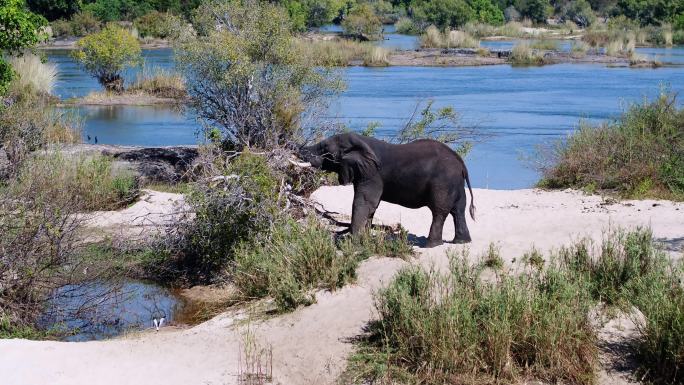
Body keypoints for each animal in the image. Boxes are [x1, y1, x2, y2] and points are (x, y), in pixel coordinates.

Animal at [294, 132, 476, 246]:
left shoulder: (372, 174)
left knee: (439, 211)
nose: (297, 148)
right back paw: (462, 242)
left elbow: (364, 202)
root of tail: (461, 163)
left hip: (443, 182)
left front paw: (353, 243)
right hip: (455, 183)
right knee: (458, 210)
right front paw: (364, 240)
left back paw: (431, 245)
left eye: (325, 150)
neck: (362, 142)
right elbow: (371, 206)